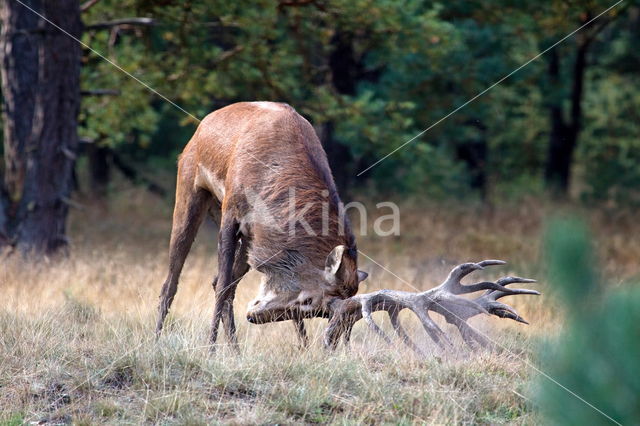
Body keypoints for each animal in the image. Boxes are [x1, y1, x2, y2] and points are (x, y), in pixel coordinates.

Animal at [154, 101, 370, 344]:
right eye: (309, 301)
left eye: (321, 312)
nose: (254, 317)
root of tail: (200, 128)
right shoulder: (231, 214)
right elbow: (222, 287)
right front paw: (210, 347)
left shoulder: (256, 233)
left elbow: (230, 285)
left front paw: (303, 346)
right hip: (191, 192)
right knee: (172, 281)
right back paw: (157, 340)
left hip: (245, 236)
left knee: (221, 282)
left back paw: (235, 347)